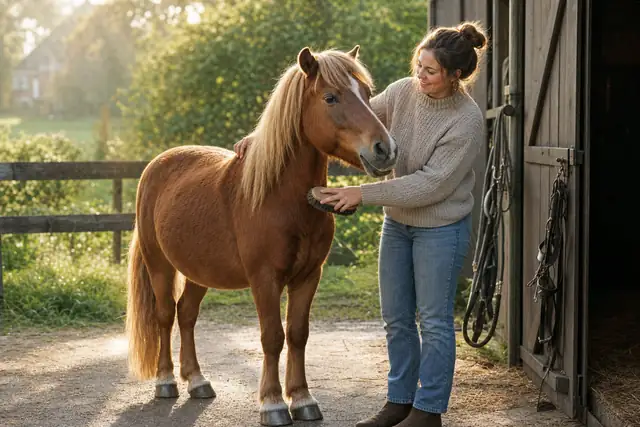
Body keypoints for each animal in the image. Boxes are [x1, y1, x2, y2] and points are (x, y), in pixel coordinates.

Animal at [125, 45, 397, 426]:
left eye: (368, 94)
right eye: (330, 97)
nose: (384, 149)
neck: (281, 198)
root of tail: (156, 165)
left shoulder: (308, 277)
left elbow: (297, 334)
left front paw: (302, 398)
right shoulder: (264, 279)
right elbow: (272, 337)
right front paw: (273, 403)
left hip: (198, 273)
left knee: (187, 315)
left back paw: (197, 380)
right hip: (160, 265)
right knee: (165, 316)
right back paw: (166, 381)